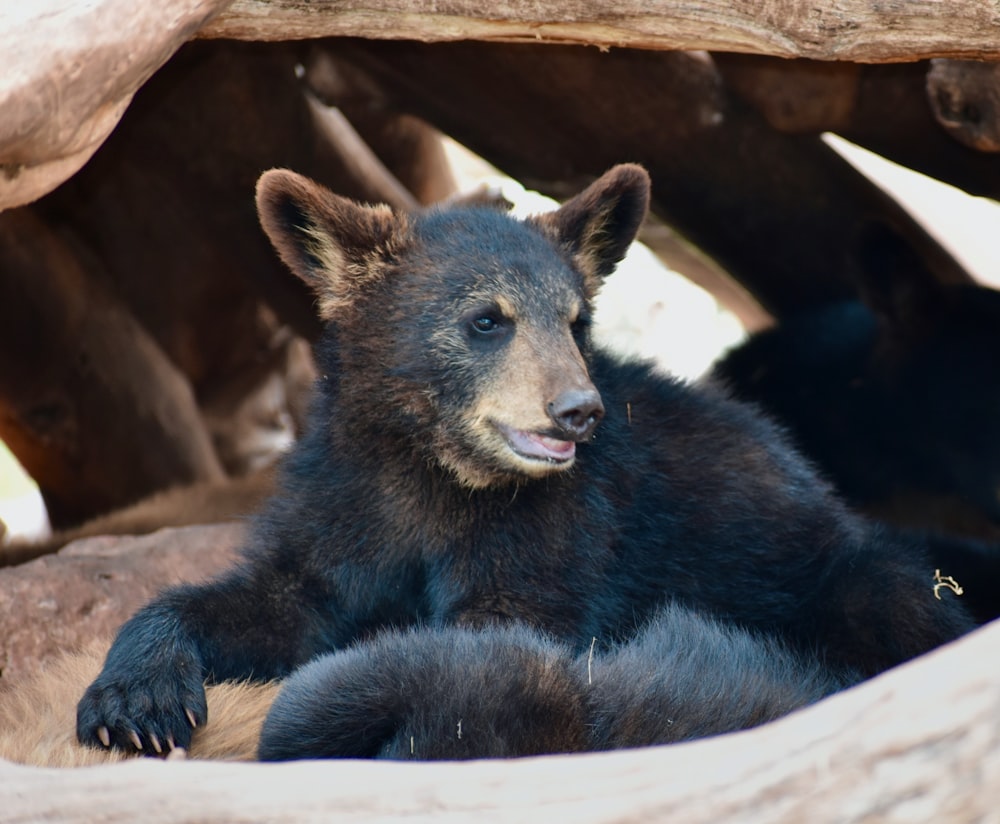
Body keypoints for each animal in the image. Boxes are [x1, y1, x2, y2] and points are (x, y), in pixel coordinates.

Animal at [80, 166, 976, 760]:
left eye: (576, 320)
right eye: (487, 318)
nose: (578, 411)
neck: (435, 471)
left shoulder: (562, 530)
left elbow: (491, 640)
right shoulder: (342, 505)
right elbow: (274, 599)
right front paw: (133, 698)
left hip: (842, 575)